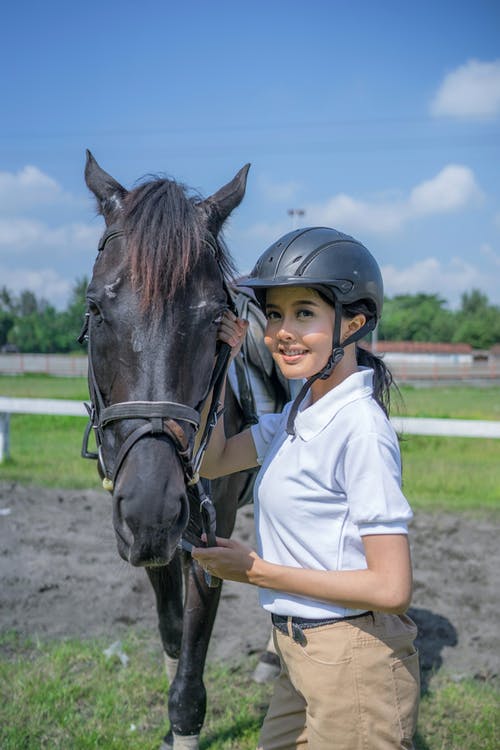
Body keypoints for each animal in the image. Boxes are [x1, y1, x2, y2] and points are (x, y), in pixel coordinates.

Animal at [83, 154, 284, 750]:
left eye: (216, 316)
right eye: (96, 308)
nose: (152, 505)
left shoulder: (208, 537)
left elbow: (189, 683)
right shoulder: (145, 531)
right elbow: (171, 627)